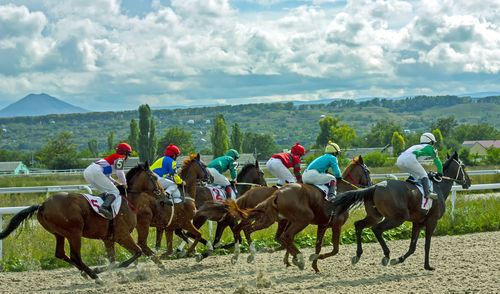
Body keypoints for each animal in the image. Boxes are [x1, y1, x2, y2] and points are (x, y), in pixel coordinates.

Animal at [0, 162, 165, 284]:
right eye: (155, 177)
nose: (165, 195)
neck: (127, 201)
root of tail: (42, 205)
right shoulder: (122, 235)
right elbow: (137, 251)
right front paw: (113, 269)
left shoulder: (108, 238)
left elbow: (113, 261)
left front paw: (105, 269)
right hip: (74, 233)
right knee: (75, 256)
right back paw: (96, 277)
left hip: (59, 233)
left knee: (61, 253)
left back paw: (86, 273)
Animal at [227, 156, 372, 272]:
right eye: (368, 171)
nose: (371, 185)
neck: (342, 191)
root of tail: (277, 194)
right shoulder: (336, 225)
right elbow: (335, 249)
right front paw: (307, 259)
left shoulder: (323, 224)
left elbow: (318, 246)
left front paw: (314, 265)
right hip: (300, 219)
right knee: (282, 236)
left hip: (267, 218)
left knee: (247, 230)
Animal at [326, 153, 470, 270]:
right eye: (463, 166)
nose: (468, 182)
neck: (438, 187)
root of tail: (375, 186)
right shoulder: (432, 221)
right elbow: (427, 244)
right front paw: (428, 266)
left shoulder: (418, 223)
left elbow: (412, 247)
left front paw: (399, 259)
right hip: (398, 218)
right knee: (377, 229)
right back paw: (386, 255)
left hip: (375, 216)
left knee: (359, 225)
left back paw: (358, 255)